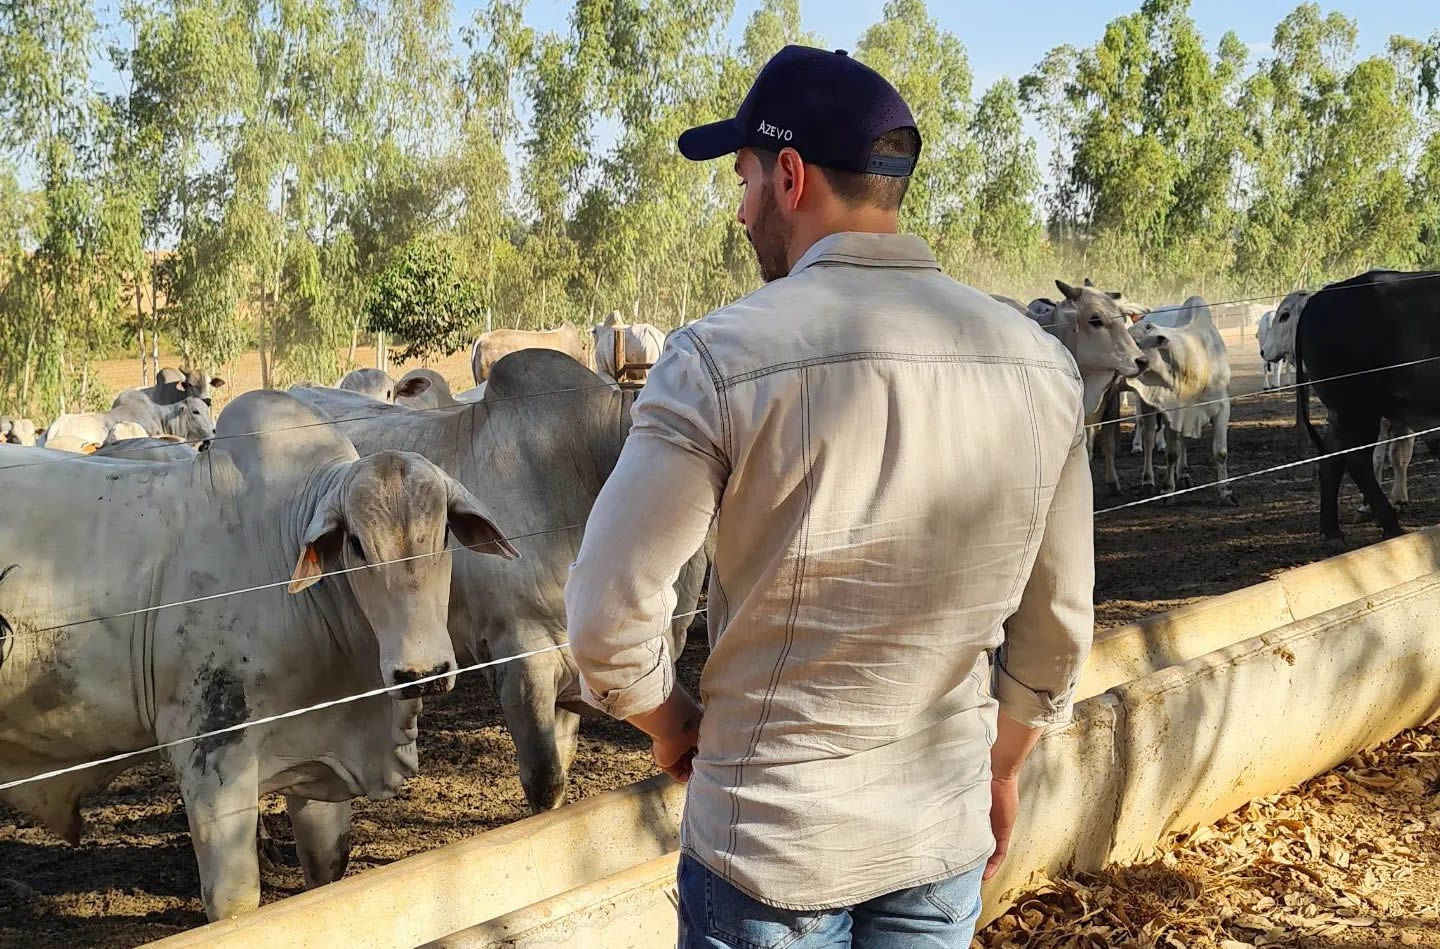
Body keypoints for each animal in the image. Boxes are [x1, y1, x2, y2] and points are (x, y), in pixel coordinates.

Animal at [0, 388, 524, 921]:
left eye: (443, 534)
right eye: (356, 544)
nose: (423, 672)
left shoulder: (318, 759)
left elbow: (325, 871)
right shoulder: (212, 753)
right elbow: (235, 906)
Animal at [1296, 267, 1440, 550]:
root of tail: (1319, 298)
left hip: (1342, 412)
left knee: (1332, 459)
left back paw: (1333, 533)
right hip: (1359, 408)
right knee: (1356, 460)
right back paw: (1391, 527)